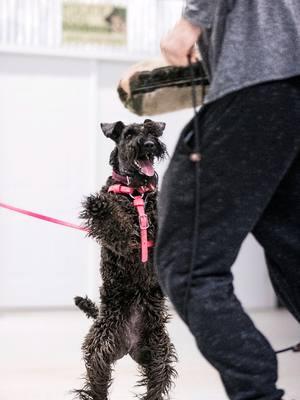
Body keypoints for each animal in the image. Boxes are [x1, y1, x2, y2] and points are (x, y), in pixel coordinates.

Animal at [74, 119, 177, 400]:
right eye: (129, 133)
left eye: (151, 130)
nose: (149, 144)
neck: (137, 192)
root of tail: (129, 344)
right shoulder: (124, 241)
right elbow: (117, 224)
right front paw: (98, 206)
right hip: (99, 349)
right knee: (96, 386)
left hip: (159, 353)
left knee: (155, 385)